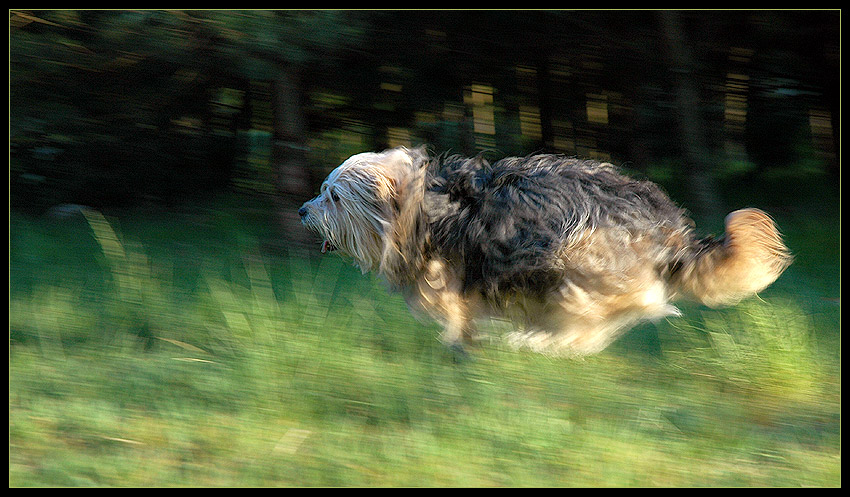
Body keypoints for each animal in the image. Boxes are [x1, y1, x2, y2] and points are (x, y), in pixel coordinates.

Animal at [298, 145, 788, 354]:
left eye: (333, 196)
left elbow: (456, 314)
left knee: (613, 312)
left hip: (579, 256)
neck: (418, 208)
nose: (302, 210)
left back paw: (539, 341)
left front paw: (461, 343)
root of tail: (670, 229)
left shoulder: (452, 278)